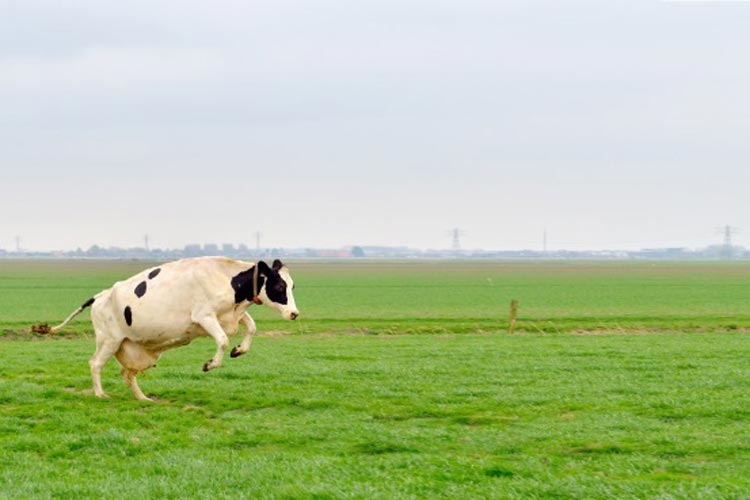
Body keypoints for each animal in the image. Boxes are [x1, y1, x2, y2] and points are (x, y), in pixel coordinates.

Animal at [41, 258, 300, 402]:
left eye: (292, 285)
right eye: (279, 286)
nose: (294, 313)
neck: (226, 278)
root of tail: (101, 295)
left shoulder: (231, 315)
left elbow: (252, 328)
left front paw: (239, 350)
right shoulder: (205, 316)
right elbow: (223, 340)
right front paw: (210, 364)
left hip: (137, 350)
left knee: (127, 374)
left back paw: (143, 398)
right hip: (109, 340)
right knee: (95, 364)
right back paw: (100, 394)